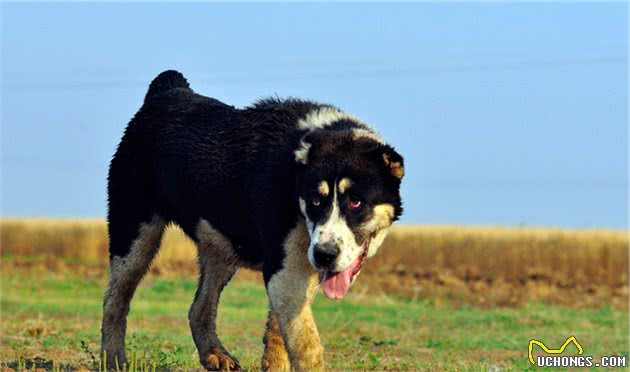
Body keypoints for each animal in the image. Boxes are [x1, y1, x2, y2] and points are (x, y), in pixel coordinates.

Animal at [99, 70, 404, 372]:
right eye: (315, 201)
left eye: (355, 201)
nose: (325, 254)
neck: (294, 174)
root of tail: (167, 89)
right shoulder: (286, 271)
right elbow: (307, 345)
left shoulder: (295, 270)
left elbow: (278, 333)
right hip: (134, 235)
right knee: (115, 301)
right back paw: (114, 360)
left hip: (221, 246)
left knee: (199, 307)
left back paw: (215, 354)